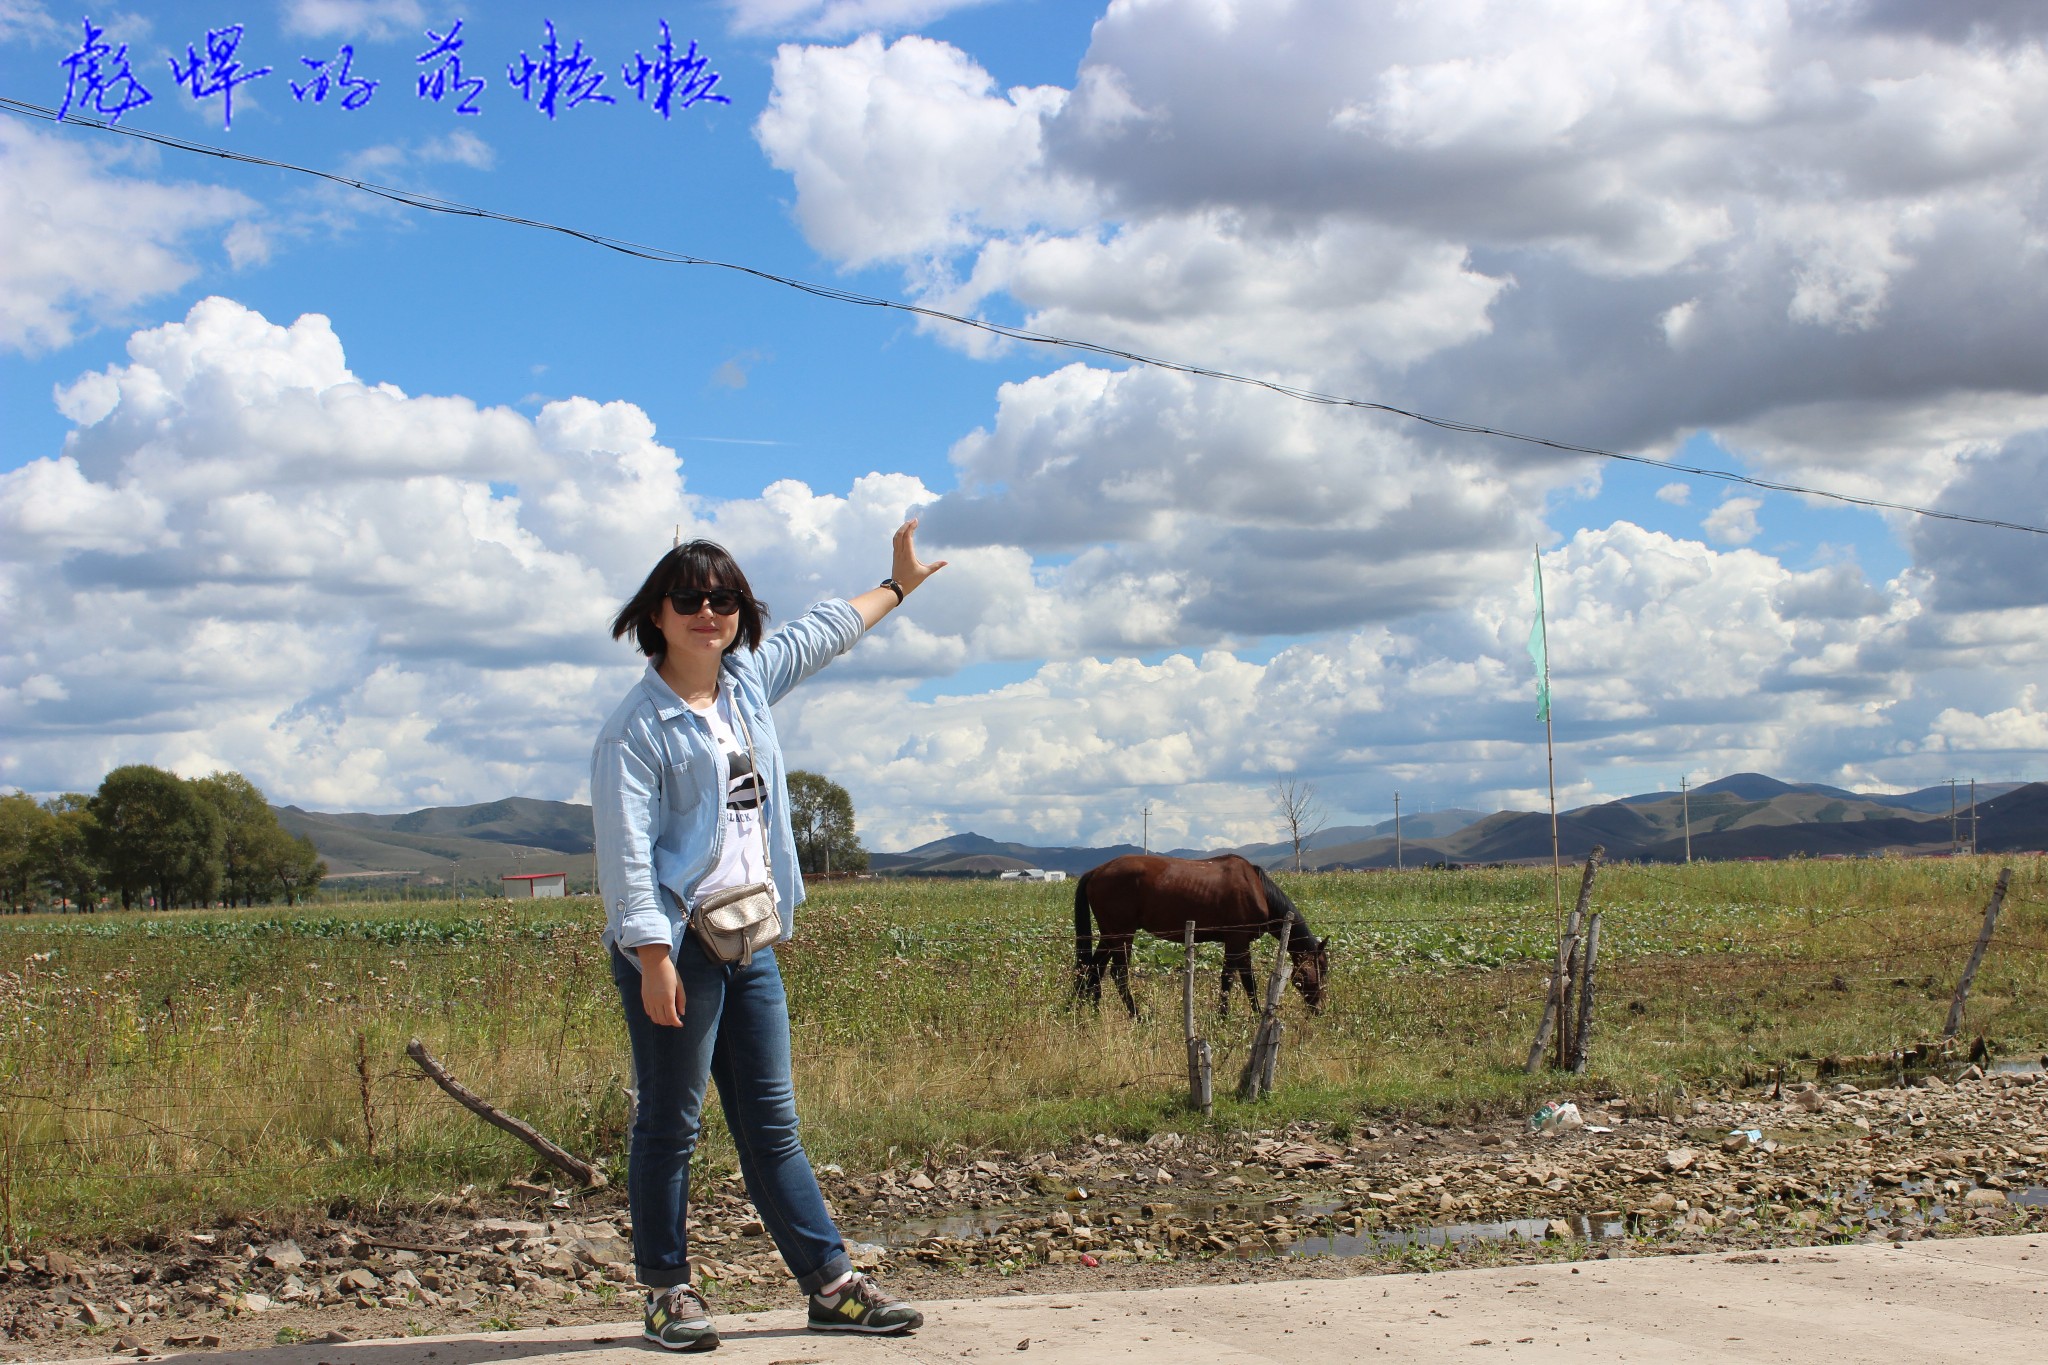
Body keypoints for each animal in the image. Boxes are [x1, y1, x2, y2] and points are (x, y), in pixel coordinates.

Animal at [1072, 854, 1330, 1017]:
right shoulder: (1237, 941)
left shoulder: (1239, 944)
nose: (1318, 1009)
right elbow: (1236, 980)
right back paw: (1137, 1017)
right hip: (1122, 934)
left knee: (1091, 970)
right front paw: (1230, 1018)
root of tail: (1096, 871)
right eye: (1323, 969)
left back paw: (1083, 1013)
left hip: (1109, 934)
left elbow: (1243, 980)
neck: (1257, 889)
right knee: (1119, 974)